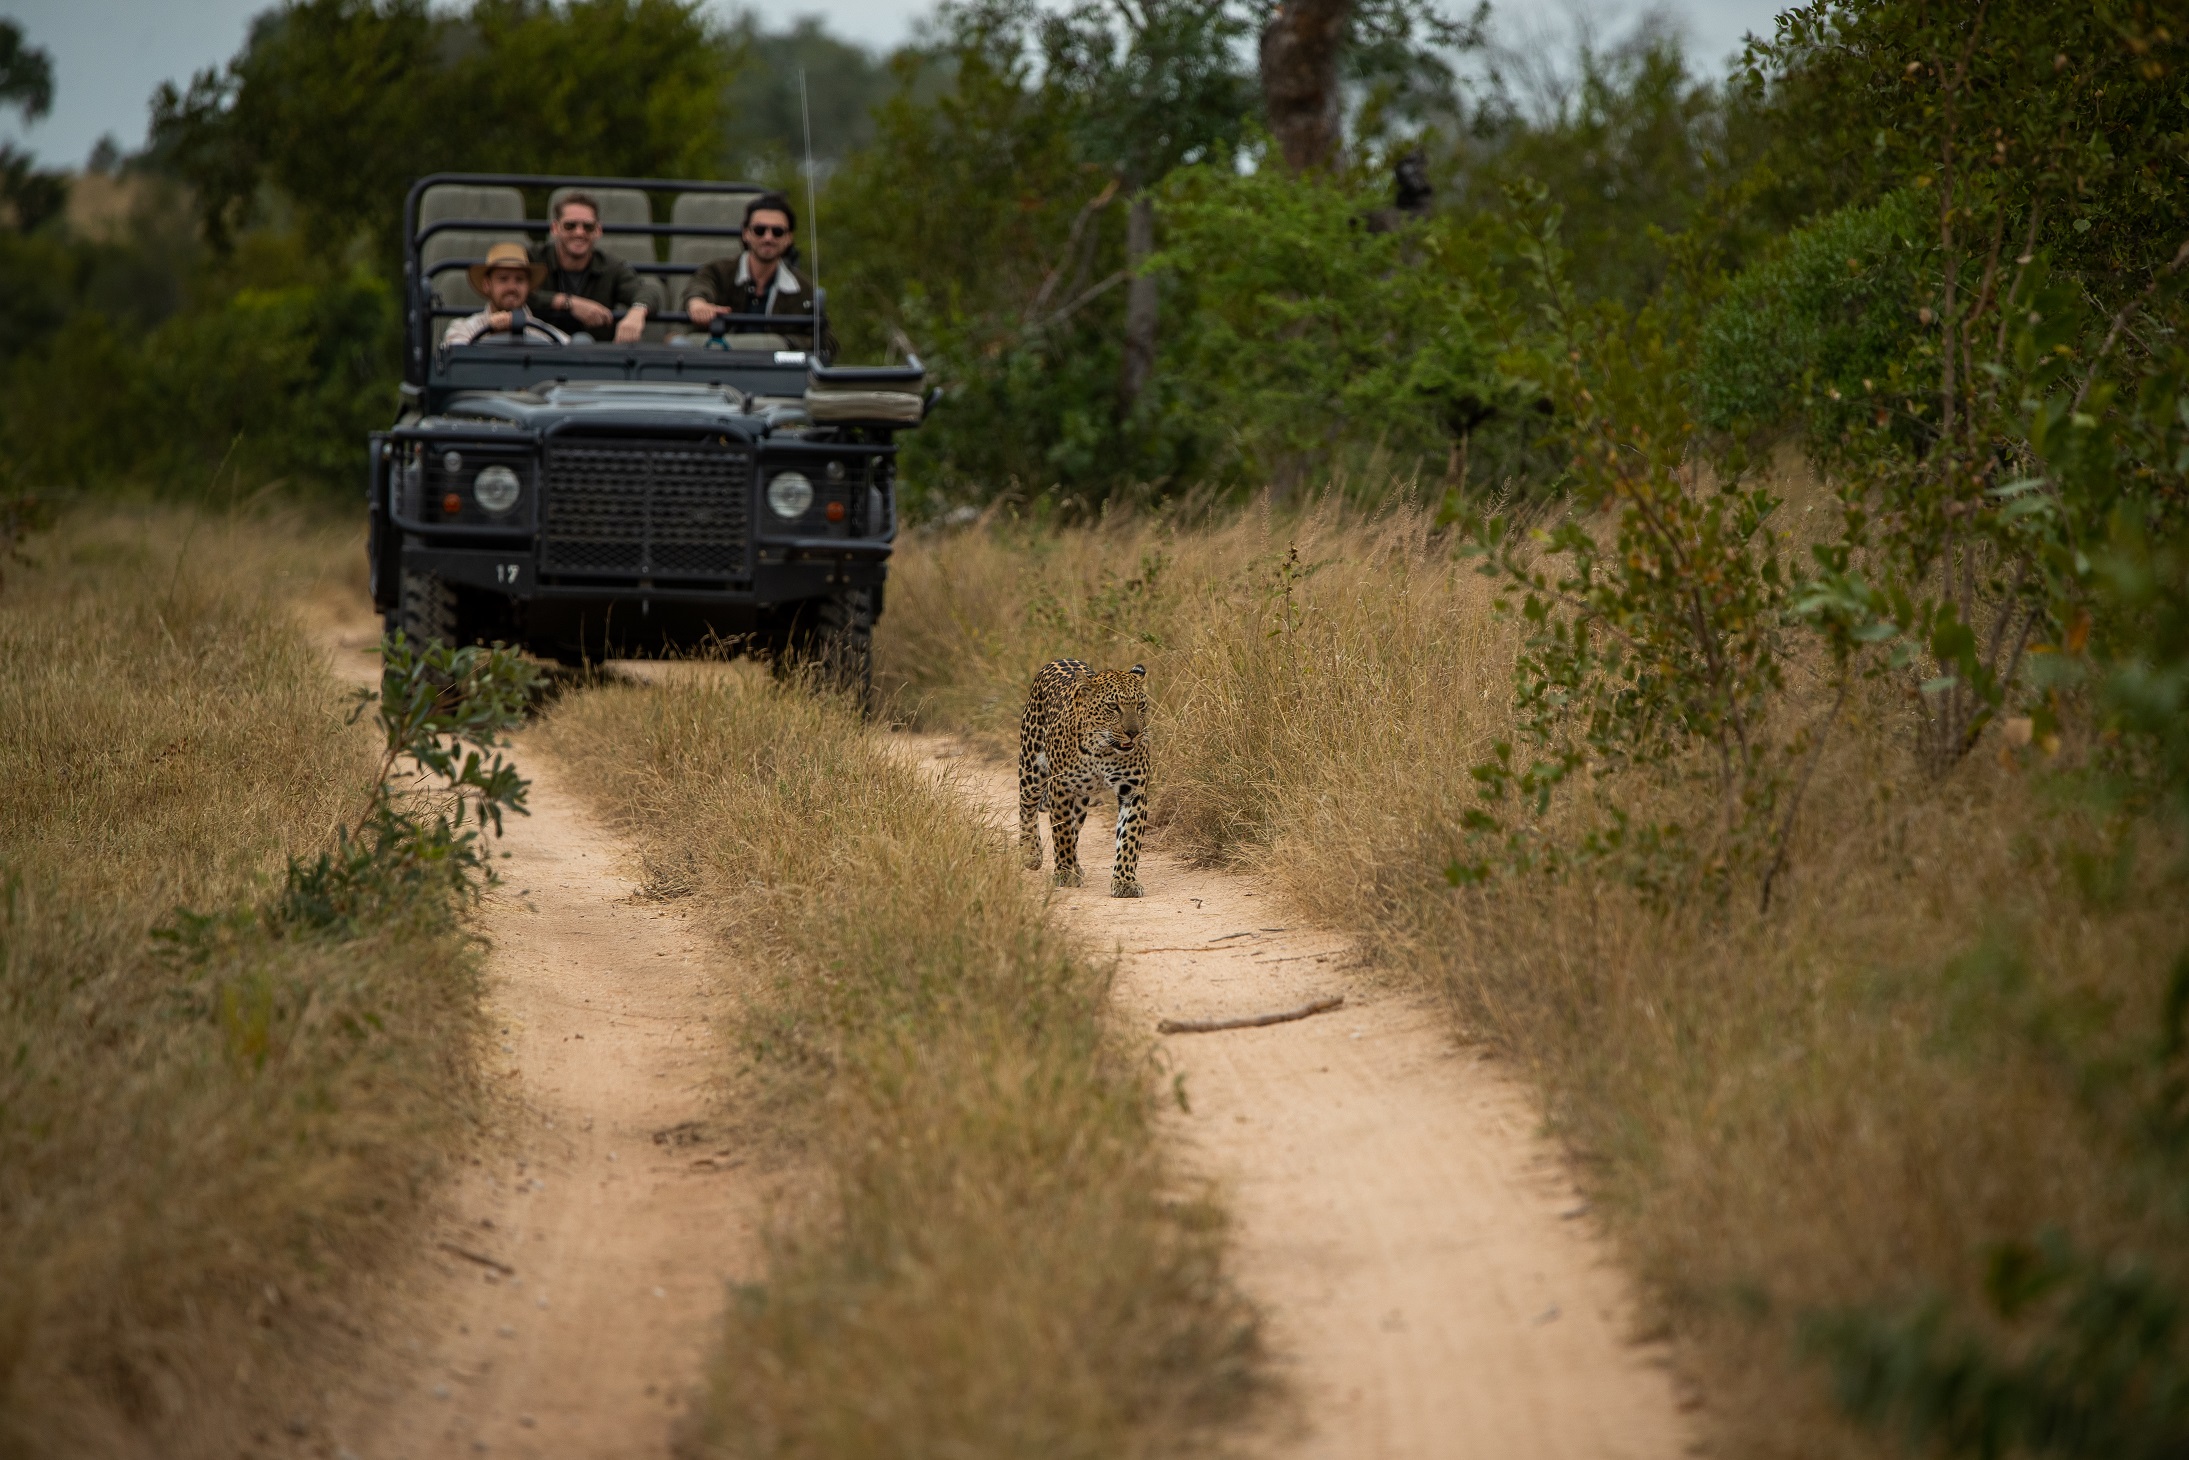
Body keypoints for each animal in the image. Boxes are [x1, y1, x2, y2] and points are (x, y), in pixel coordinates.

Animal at [1020, 661, 1155, 893]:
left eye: (1140, 705)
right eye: (1113, 706)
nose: (1133, 733)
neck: (1104, 749)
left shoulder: (1133, 791)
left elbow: (1129, 838)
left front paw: (1125, 881)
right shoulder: (1061, 788)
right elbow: (1062, 833)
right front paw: (1065, 873)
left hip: (1081, 801)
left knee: (1075, 827)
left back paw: (1076, 866)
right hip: (1032, 770)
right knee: (1026, 807)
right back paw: (1031, 854)